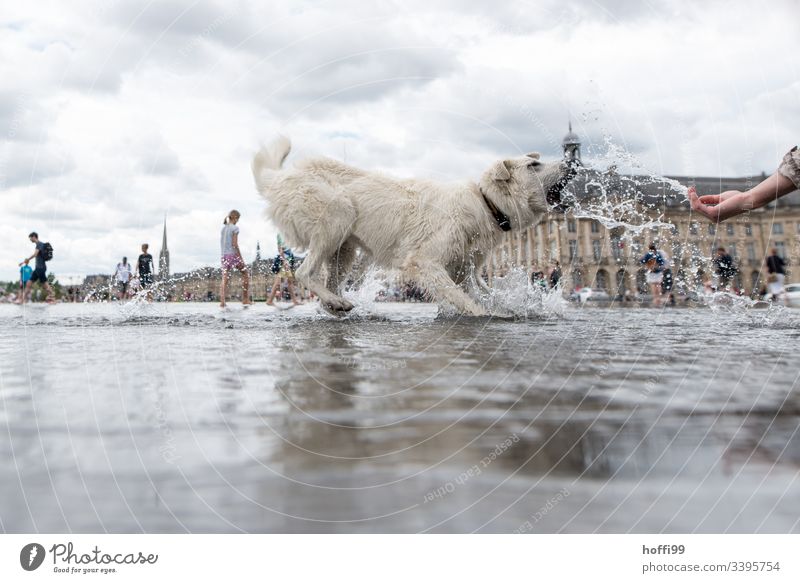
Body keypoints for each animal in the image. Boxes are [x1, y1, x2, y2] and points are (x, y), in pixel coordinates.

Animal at [253, 137, 572, 318]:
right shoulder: (426, 262)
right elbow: (465, 301)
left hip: (344, 250)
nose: (570, 164)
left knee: (325, 282)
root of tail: (279, 178)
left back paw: (336, 305)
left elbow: (477, 291)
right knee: (303, 272)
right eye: (533, 166)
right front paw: (488, 315)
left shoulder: (464, 270)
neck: (486, 203)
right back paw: (335, 302)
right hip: (337, 215)